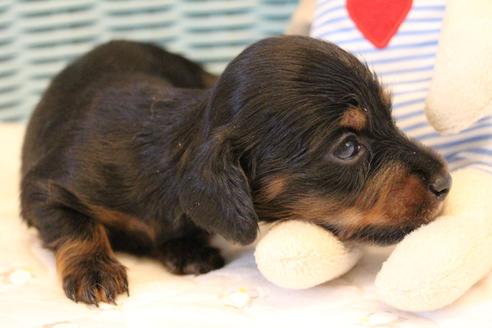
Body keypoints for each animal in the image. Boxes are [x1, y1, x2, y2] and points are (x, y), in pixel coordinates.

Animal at [19, 36, 452, 304]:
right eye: (347, 147)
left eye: (390, 118)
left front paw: (186, 246)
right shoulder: (42, 190)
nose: (445, 183)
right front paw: (95, 270)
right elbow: (75, 225)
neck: (174, 151)